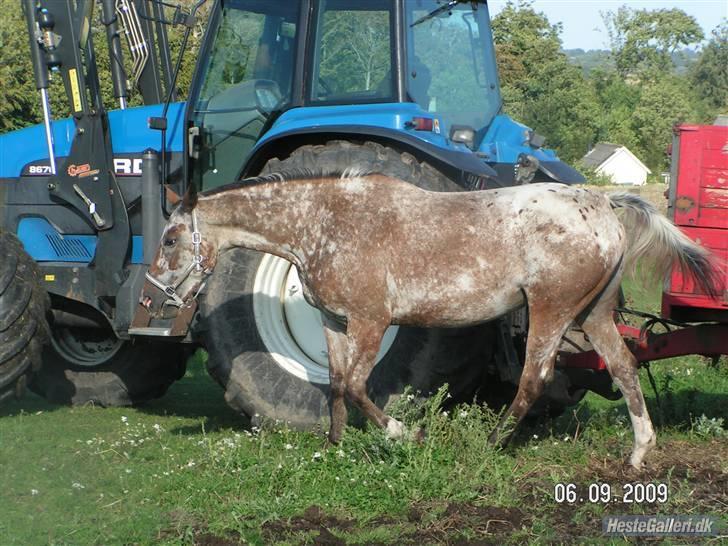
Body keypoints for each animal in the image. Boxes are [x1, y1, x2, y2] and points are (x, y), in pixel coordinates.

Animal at [142, 170, 716, 468]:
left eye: (170, 238)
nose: (149, 300)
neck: (323, 222)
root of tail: (600, 201)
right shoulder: (334, 322)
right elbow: (335, 387)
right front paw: (332, 449)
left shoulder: (371, 321)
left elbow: (357, 388)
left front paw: (404, 434)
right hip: (592, 313)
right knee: (623, 367)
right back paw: (639, 453)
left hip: (551, 310)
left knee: (535, 378)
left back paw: (491, 444)